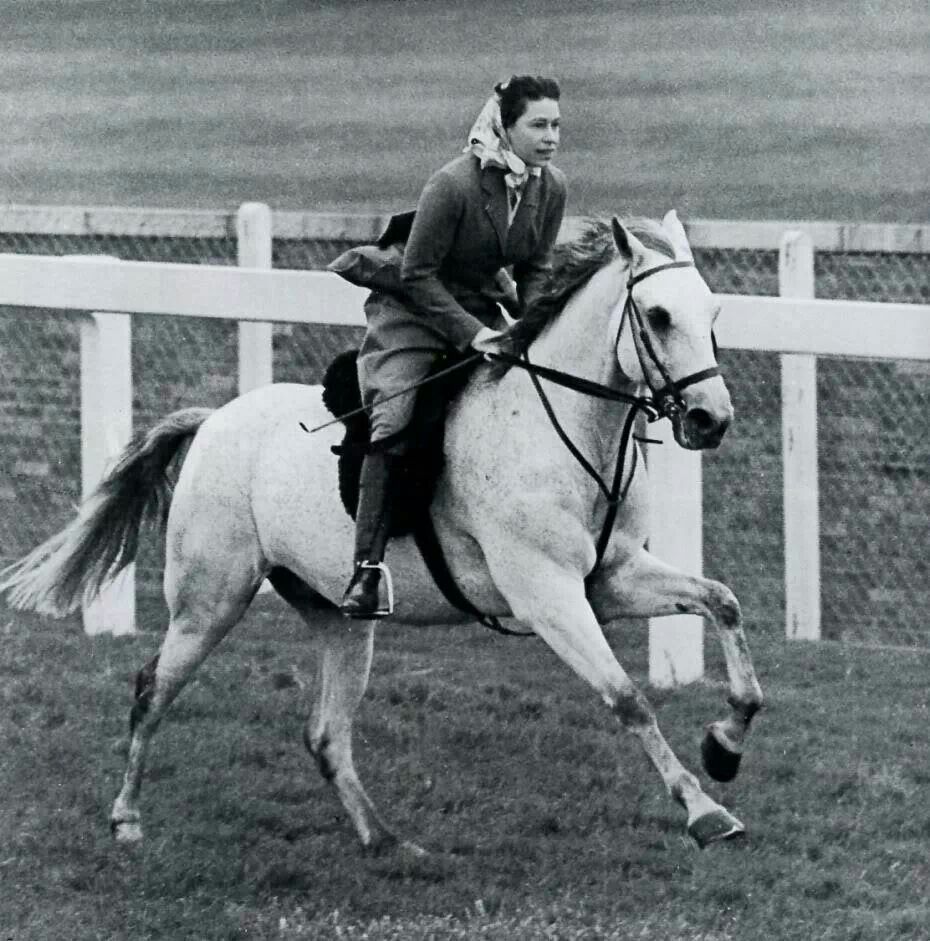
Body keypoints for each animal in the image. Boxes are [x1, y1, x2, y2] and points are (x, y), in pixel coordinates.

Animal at [1, 211, 760, 852]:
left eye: (714, 313)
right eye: (658, 315)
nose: (711, 419)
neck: (563, 428)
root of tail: (213, 419)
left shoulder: (611, 578)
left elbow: (722, 603)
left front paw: (725, 744)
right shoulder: (548, 594)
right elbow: (628, 698)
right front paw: (704, 809)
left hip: (340, 620)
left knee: (325, 733)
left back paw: (385, 839)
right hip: (208, 601)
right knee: (151, 689)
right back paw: (126, 818)